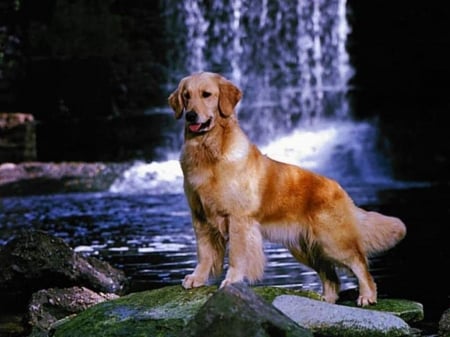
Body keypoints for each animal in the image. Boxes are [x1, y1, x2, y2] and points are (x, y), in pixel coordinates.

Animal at [167, 72, 406, 306]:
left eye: (207, 94)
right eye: (186, 96)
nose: (190, 116)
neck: (208, 152)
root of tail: (339, 188)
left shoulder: (238, 219)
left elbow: (236, 255)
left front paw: (231, 281)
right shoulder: (200, 217)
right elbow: (204, 254)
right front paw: (197, 278)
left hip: (332, 241)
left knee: (360, 264)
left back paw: (367, 296)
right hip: (306, 248)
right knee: (331, 276)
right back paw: (325, 300)